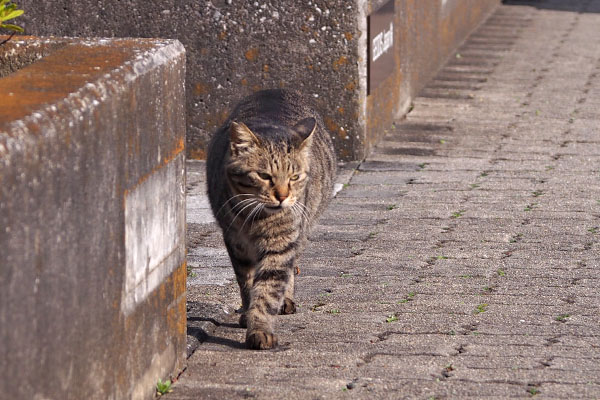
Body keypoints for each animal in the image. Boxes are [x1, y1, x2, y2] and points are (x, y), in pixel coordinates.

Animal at [206, 89, 338, 348]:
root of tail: (277, 89)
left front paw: (260, 329)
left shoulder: (282, 243)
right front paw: (248, 315)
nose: (283, 196)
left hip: (303, 228)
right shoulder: (236, 244)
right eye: (264, 176)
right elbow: (247, 284)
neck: (257, 219)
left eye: (294, 176)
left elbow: (268, 289)